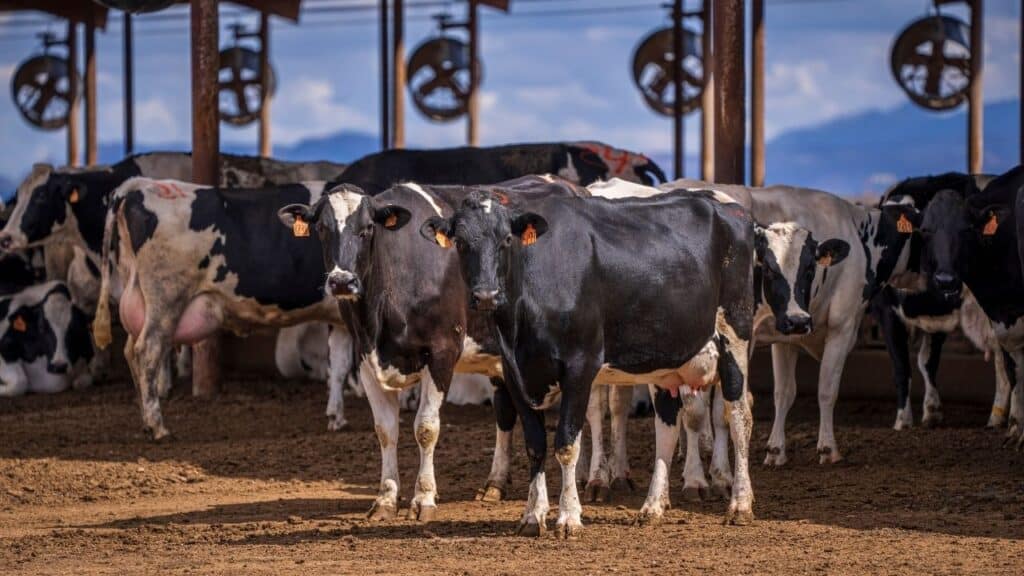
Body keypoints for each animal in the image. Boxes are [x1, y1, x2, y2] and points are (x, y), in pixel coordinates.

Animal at [93, 178, 349, 440]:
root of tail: (140, 185)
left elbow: (339, 366)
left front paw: (336, 418)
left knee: (130, 351)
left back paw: (146, 422)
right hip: (166, 299)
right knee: (147, 351)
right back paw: (157, 426)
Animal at [420, 189, 759, 535]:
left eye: (506, 240)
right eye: (462, 242)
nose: (487, 295)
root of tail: (728, 209)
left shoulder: (579, 367)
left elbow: (567, 444)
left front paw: (568, 517)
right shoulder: (514, 373)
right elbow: (535, 445)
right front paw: (532, 516)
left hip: (735, 334)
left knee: (739, 417)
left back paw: (740, 505)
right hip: (666, 360)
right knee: (667, 425)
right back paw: (652, 508)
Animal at [663, 178, 915, 466]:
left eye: (811, 269)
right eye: (769, 269)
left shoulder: (787, 335)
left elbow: (784, 393)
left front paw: (775, 450)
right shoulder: (843, 326)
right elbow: (827, 389)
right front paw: (828, 448)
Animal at [903, 165, 1024, 449]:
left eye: (967, 230)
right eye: (925, 230)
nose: (945, 280)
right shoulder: (1003, 316)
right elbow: (1013, 364)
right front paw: (1016, 428)